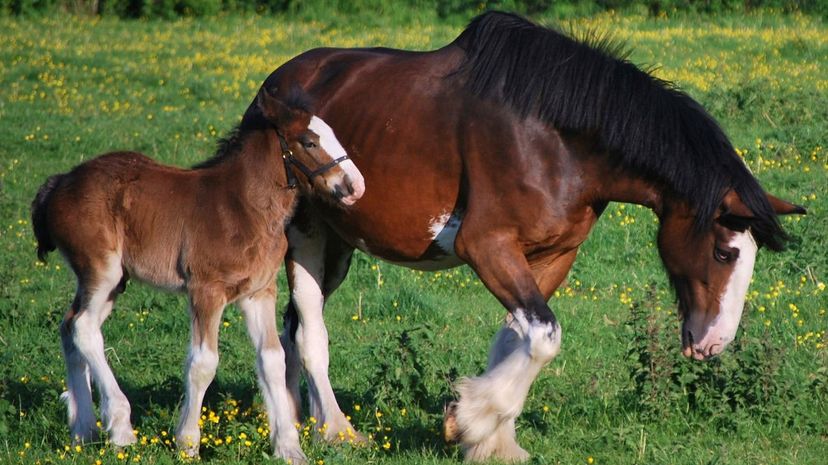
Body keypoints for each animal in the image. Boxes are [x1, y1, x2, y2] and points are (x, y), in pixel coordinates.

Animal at [32, 86, 362, 460]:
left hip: (113, 282)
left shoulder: (258, 292)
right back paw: (121, 428)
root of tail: (59, 184)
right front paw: (187, 442)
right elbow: (203, 363)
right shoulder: (206, 290)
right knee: (83, 327)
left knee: (69, 326)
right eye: (309, 141)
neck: (243, 206)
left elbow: (273, 359)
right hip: (101, 270)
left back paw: (83, 431)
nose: (355, 185)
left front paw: (289, 448)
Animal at [243, 10, 804, 460]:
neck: (556, 137)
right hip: (307, 236)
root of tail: (273, 91)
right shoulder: (486, 246)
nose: (713, 344)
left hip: (339, 246)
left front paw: (491, 439)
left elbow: (518, 336)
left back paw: (298, 422)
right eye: (725, 252)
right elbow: (544, 337)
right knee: (309, 331)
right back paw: (337, 431)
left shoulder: (551, 255)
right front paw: (469, 420)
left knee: (292, 330)